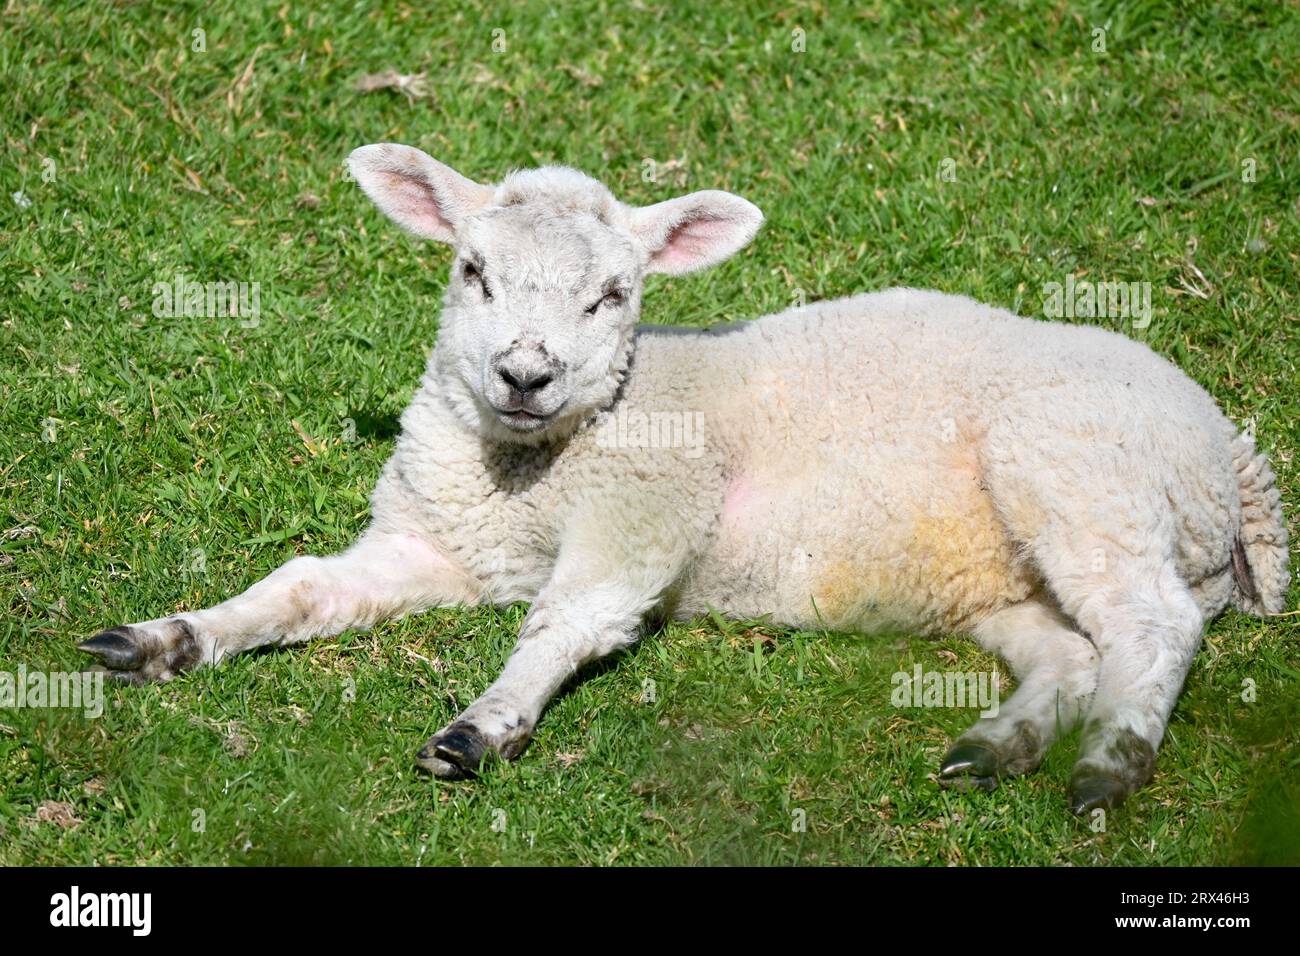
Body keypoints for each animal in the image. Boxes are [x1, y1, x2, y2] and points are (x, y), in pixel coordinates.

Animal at [81, 141, 1289, 816]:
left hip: (1084, 467)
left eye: (614, 295)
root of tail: (1229, 458)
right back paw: (998, 747)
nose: (525, 373)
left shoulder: (647, 511)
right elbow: (299, 587)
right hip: (1003, 570)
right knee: (1074, 650)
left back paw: (1113, 764)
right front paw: (168, 638)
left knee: (1154, 621)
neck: (533, 473)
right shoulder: (435, 541)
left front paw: (482, 725)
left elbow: (565, 622)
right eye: (472, 270)